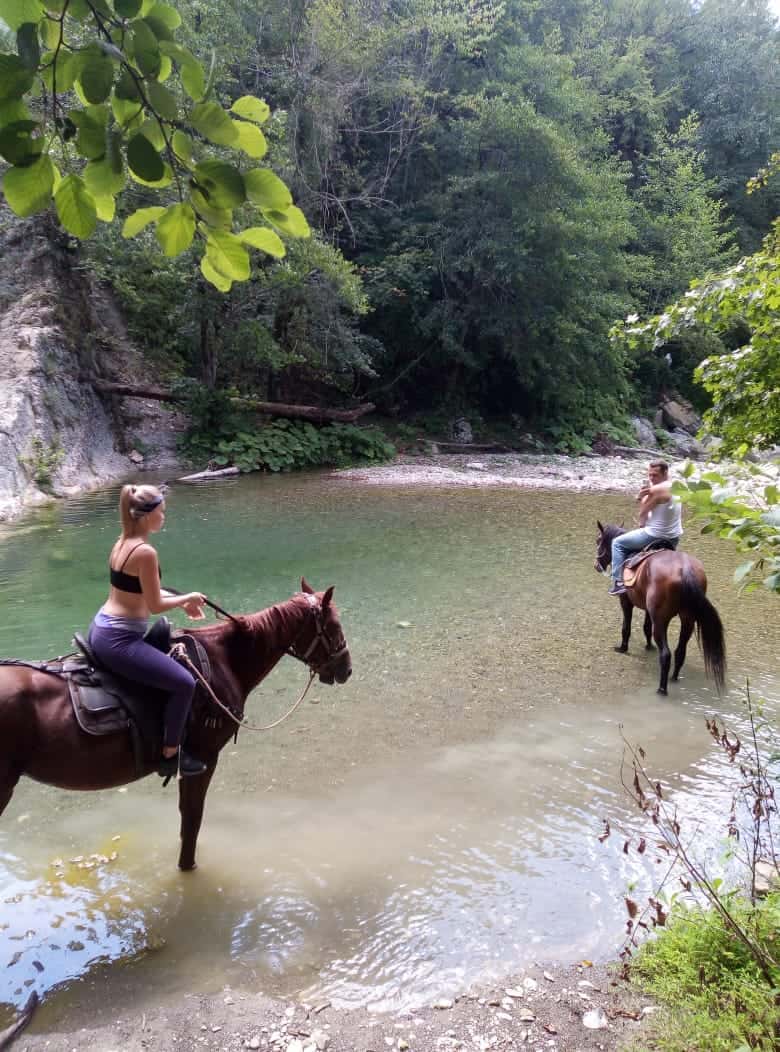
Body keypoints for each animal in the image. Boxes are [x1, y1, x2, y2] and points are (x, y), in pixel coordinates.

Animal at [0, 580, 349, 866]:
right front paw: (187, 867)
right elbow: (192, 820)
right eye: (334, 625)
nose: (346, 668)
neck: (224, 660)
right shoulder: (204, 759)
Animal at [597, 521, 724, 694]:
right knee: (680, 651)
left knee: (666, 654)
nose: (596, 565)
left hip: (661, 620)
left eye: (598, 540)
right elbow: (646, 627)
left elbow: (626, 627)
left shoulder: (626, 602)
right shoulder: (648, 609)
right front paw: (649, 646)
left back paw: (662, 689)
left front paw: (623, 648)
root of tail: (685, 570)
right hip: (687, 620)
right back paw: (673, 677)